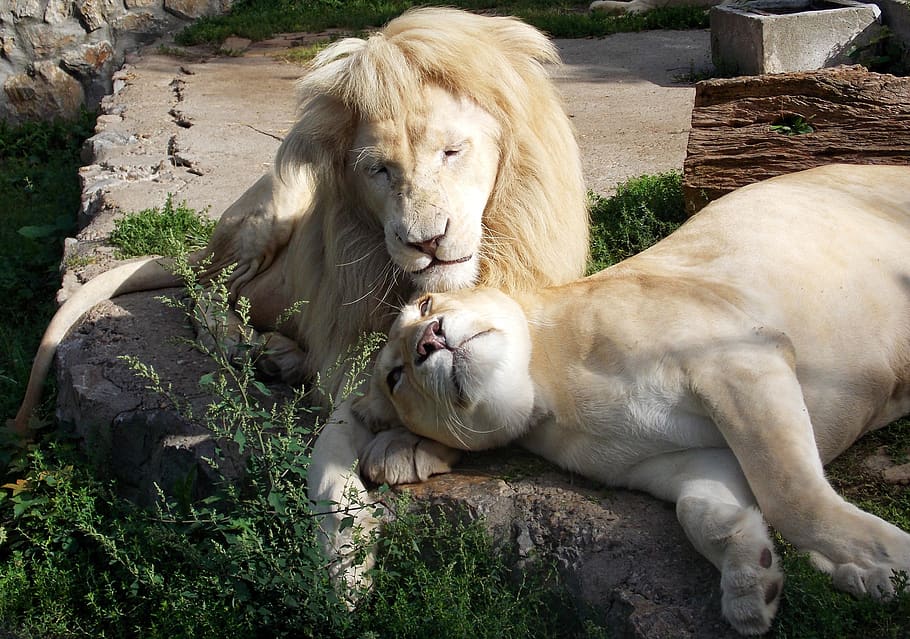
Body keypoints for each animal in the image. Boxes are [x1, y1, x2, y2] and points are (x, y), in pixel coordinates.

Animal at [12, 7, 592, 436]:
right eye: (379, 170)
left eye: (451, 151)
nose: (426, 242)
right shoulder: (348, 349)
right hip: (276, 203)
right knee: (210, 291)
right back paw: (246, 343)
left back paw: (279, 356)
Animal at [316, 165, 910, 636]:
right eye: (395, 376)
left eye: (426, 304)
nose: (429, 341)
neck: (551, 393)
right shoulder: (690, 458)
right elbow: (700, 509)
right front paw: (751, 580)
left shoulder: (738, 358)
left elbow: (789, 491)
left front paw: (892, 557)